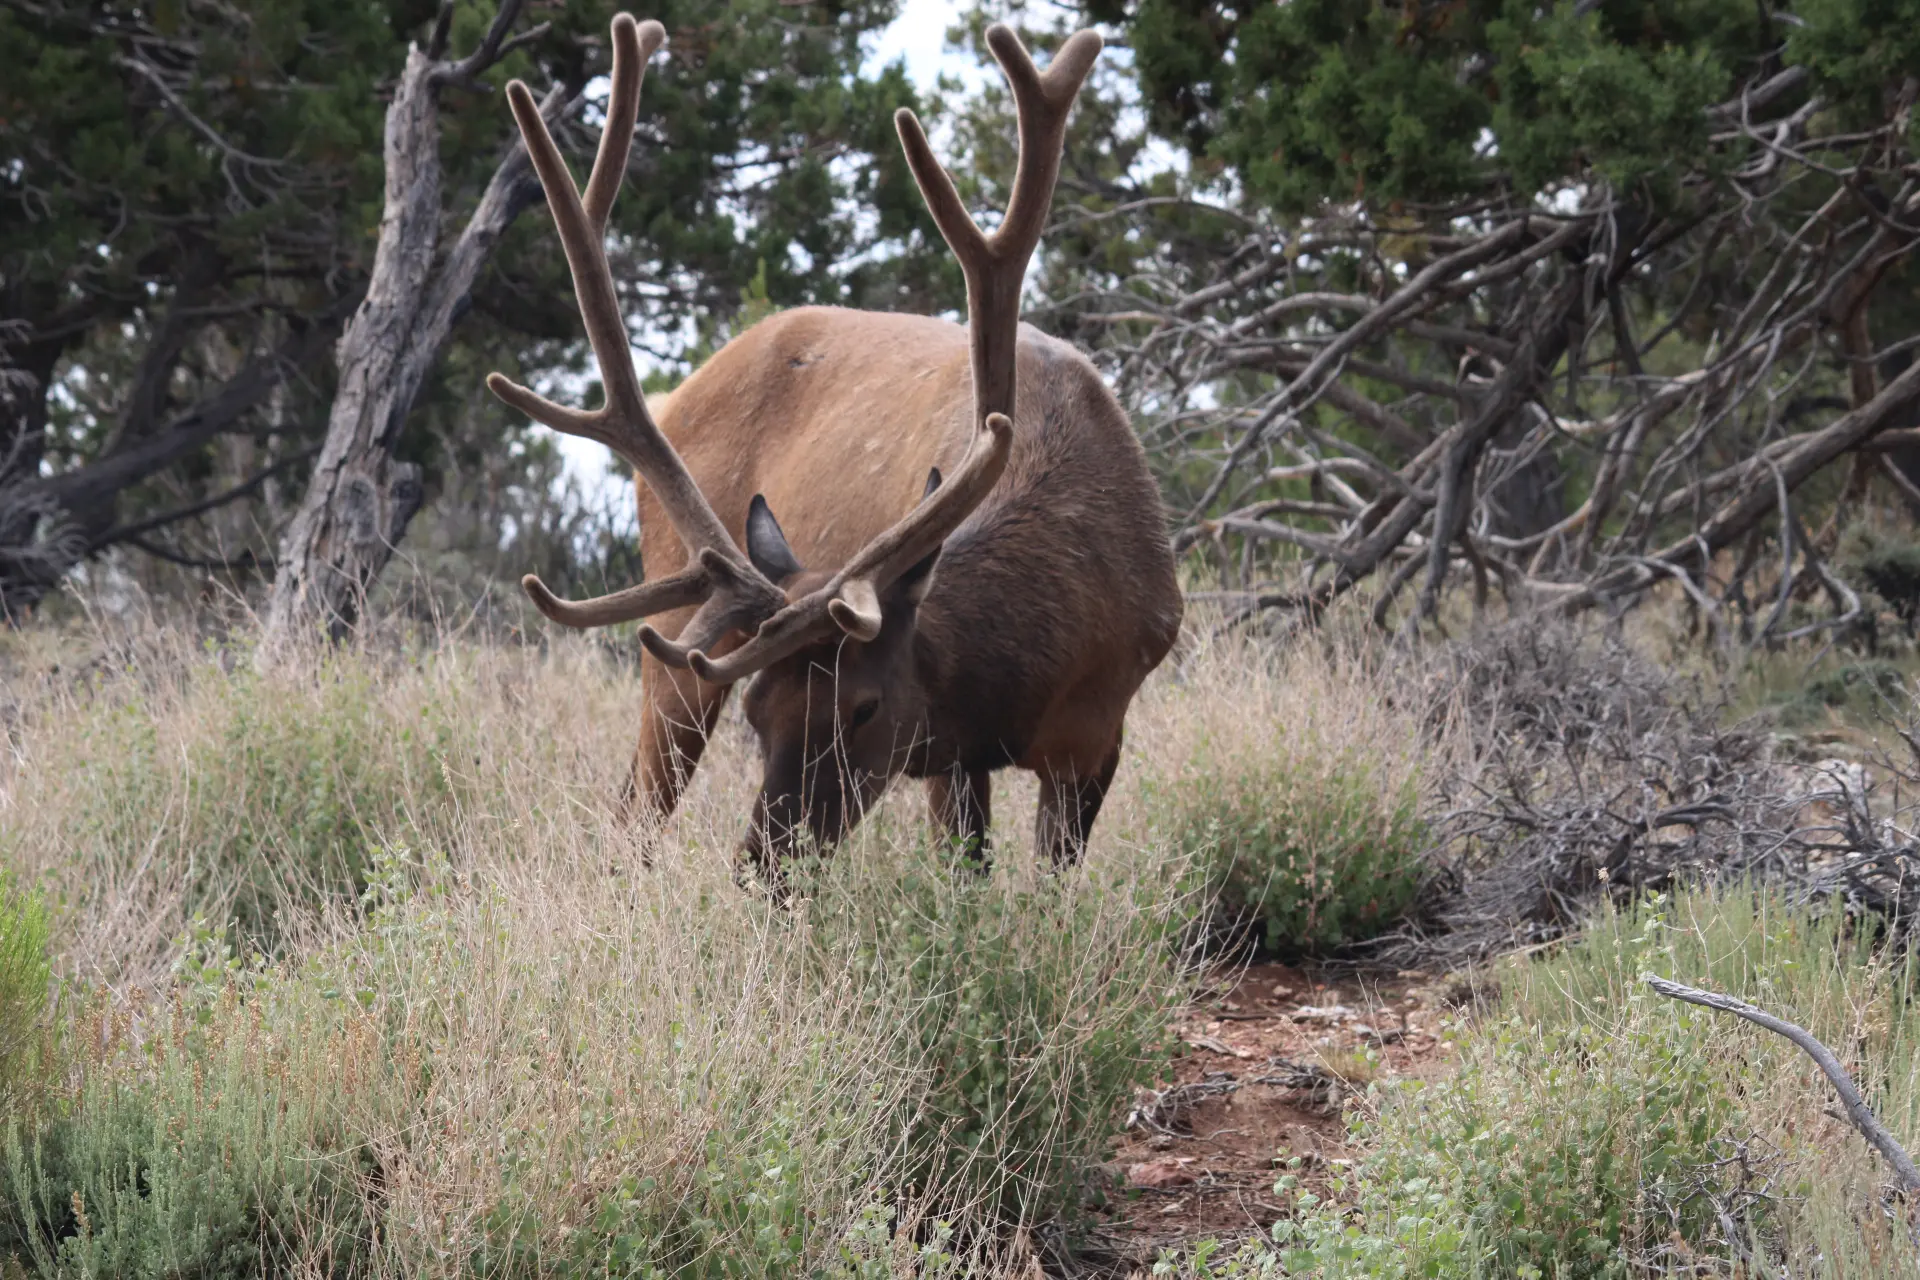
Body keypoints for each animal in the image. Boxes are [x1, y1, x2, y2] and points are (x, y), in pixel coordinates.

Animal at [486, 12, 1182, 884]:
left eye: (864, 707)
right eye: (759, 711)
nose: (764, 860)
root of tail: (679, 389)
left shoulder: (1097, 733)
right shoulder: (952, 751)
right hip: (675, 627)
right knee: (635, 810)